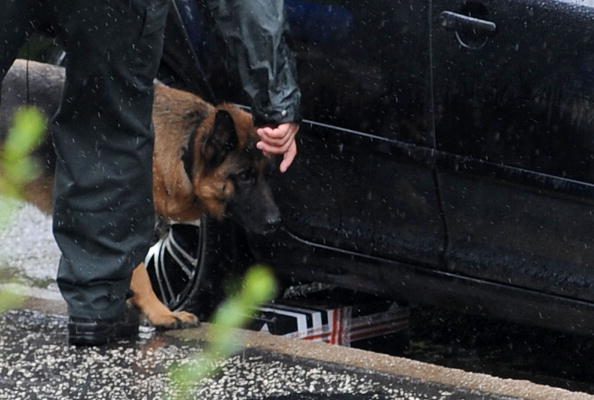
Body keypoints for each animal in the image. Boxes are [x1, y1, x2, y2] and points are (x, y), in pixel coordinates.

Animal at [0, 59, 280, 328]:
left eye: (267, 174)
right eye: (244, 176)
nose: (276, 221)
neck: (183, 150)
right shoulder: (120, 221)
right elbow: (139, 272)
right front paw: (161, 313)